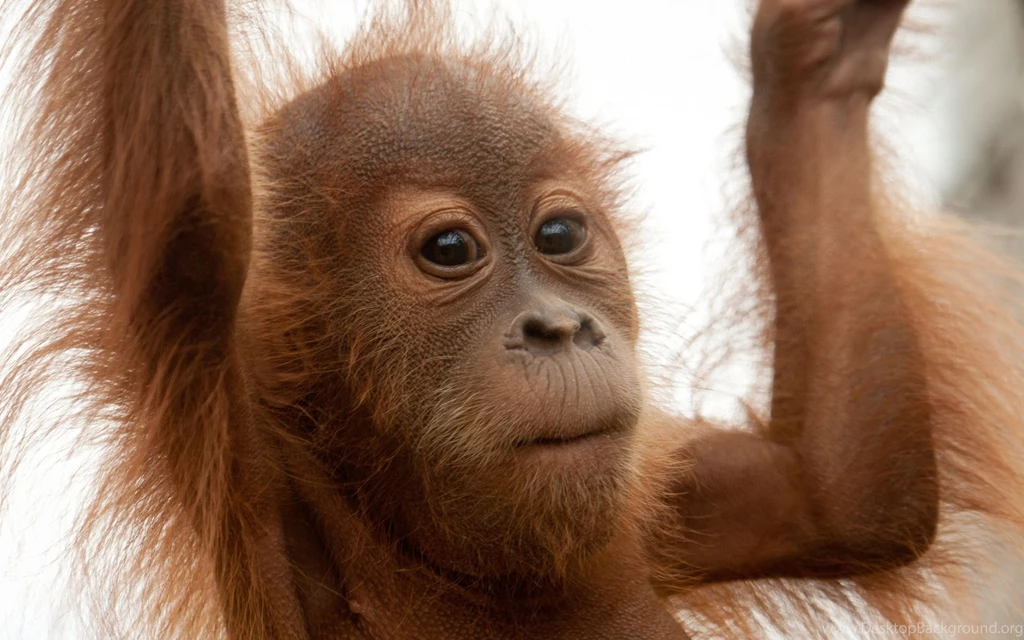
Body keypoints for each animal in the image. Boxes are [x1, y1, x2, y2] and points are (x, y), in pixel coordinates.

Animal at [1, 0, 1023, 638]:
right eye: (451, 251)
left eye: (560, 234)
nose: (558, 328)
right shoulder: (242, 456)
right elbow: (191, 207)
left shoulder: (648, 493)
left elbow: (838, 498)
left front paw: (816, 53)